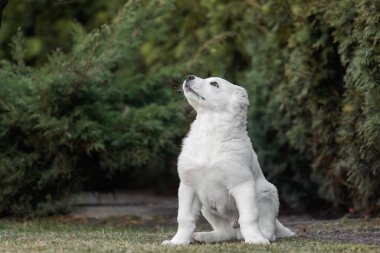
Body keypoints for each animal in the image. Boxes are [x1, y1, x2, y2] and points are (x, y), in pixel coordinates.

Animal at [163, 75, 294, 245]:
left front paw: (255, 239)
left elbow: (249, 217)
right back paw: (205, 236)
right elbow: (185, 218)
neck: (209, 132)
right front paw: (177, 242)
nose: (189, 77)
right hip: (206, 207)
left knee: (266, 229)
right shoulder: (188, 186)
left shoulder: (242, 184)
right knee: (226, 232)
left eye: (214, 83)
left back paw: (261, 236)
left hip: (267, 194)